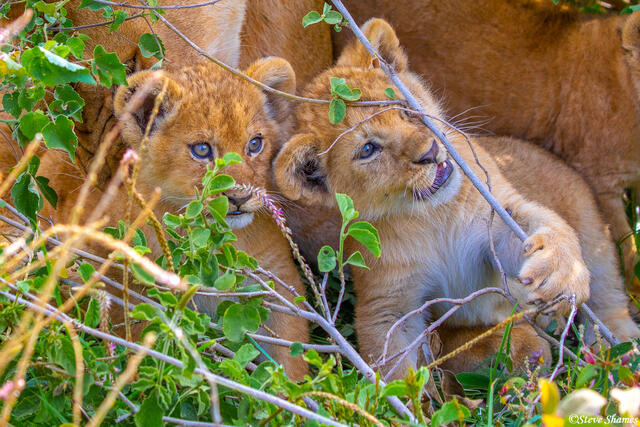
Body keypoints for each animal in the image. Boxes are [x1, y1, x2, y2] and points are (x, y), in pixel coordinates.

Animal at [1, 57, 310, 380]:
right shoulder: (120, 281)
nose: (239, 198)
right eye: (201, 149)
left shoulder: (279, 281)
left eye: (255, 144)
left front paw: (296, 391)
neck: (216, 242)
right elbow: (138, 342)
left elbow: (291, 355)